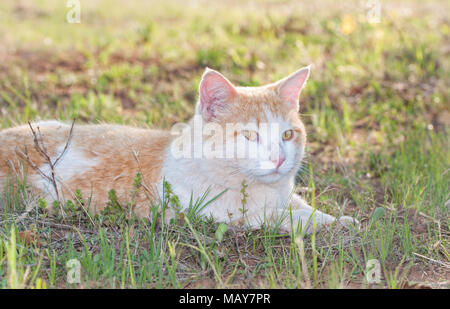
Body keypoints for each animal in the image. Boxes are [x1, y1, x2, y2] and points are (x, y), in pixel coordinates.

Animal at [0, 65, 358, 233]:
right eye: (249, 135)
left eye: (287, 134)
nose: (280, 159)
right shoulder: (213, 213)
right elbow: (284, 218)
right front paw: (333, 224)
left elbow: (303, 208)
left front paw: (333, 217)